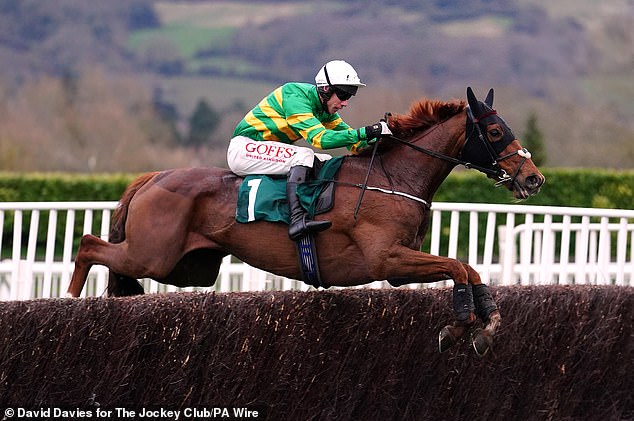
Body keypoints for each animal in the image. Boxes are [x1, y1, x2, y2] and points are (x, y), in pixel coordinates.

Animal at [68, 88, 544, 354]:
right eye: (496, 131)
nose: (533, 178)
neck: (392, 178)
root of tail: (153, 177)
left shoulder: (402, 261)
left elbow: (469, 268)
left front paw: (485, 326)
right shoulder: (386, 259)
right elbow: (457, 267)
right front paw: (458, 325)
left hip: (189, 269)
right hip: (154, 255)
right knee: (89, 244)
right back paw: (69, 303)